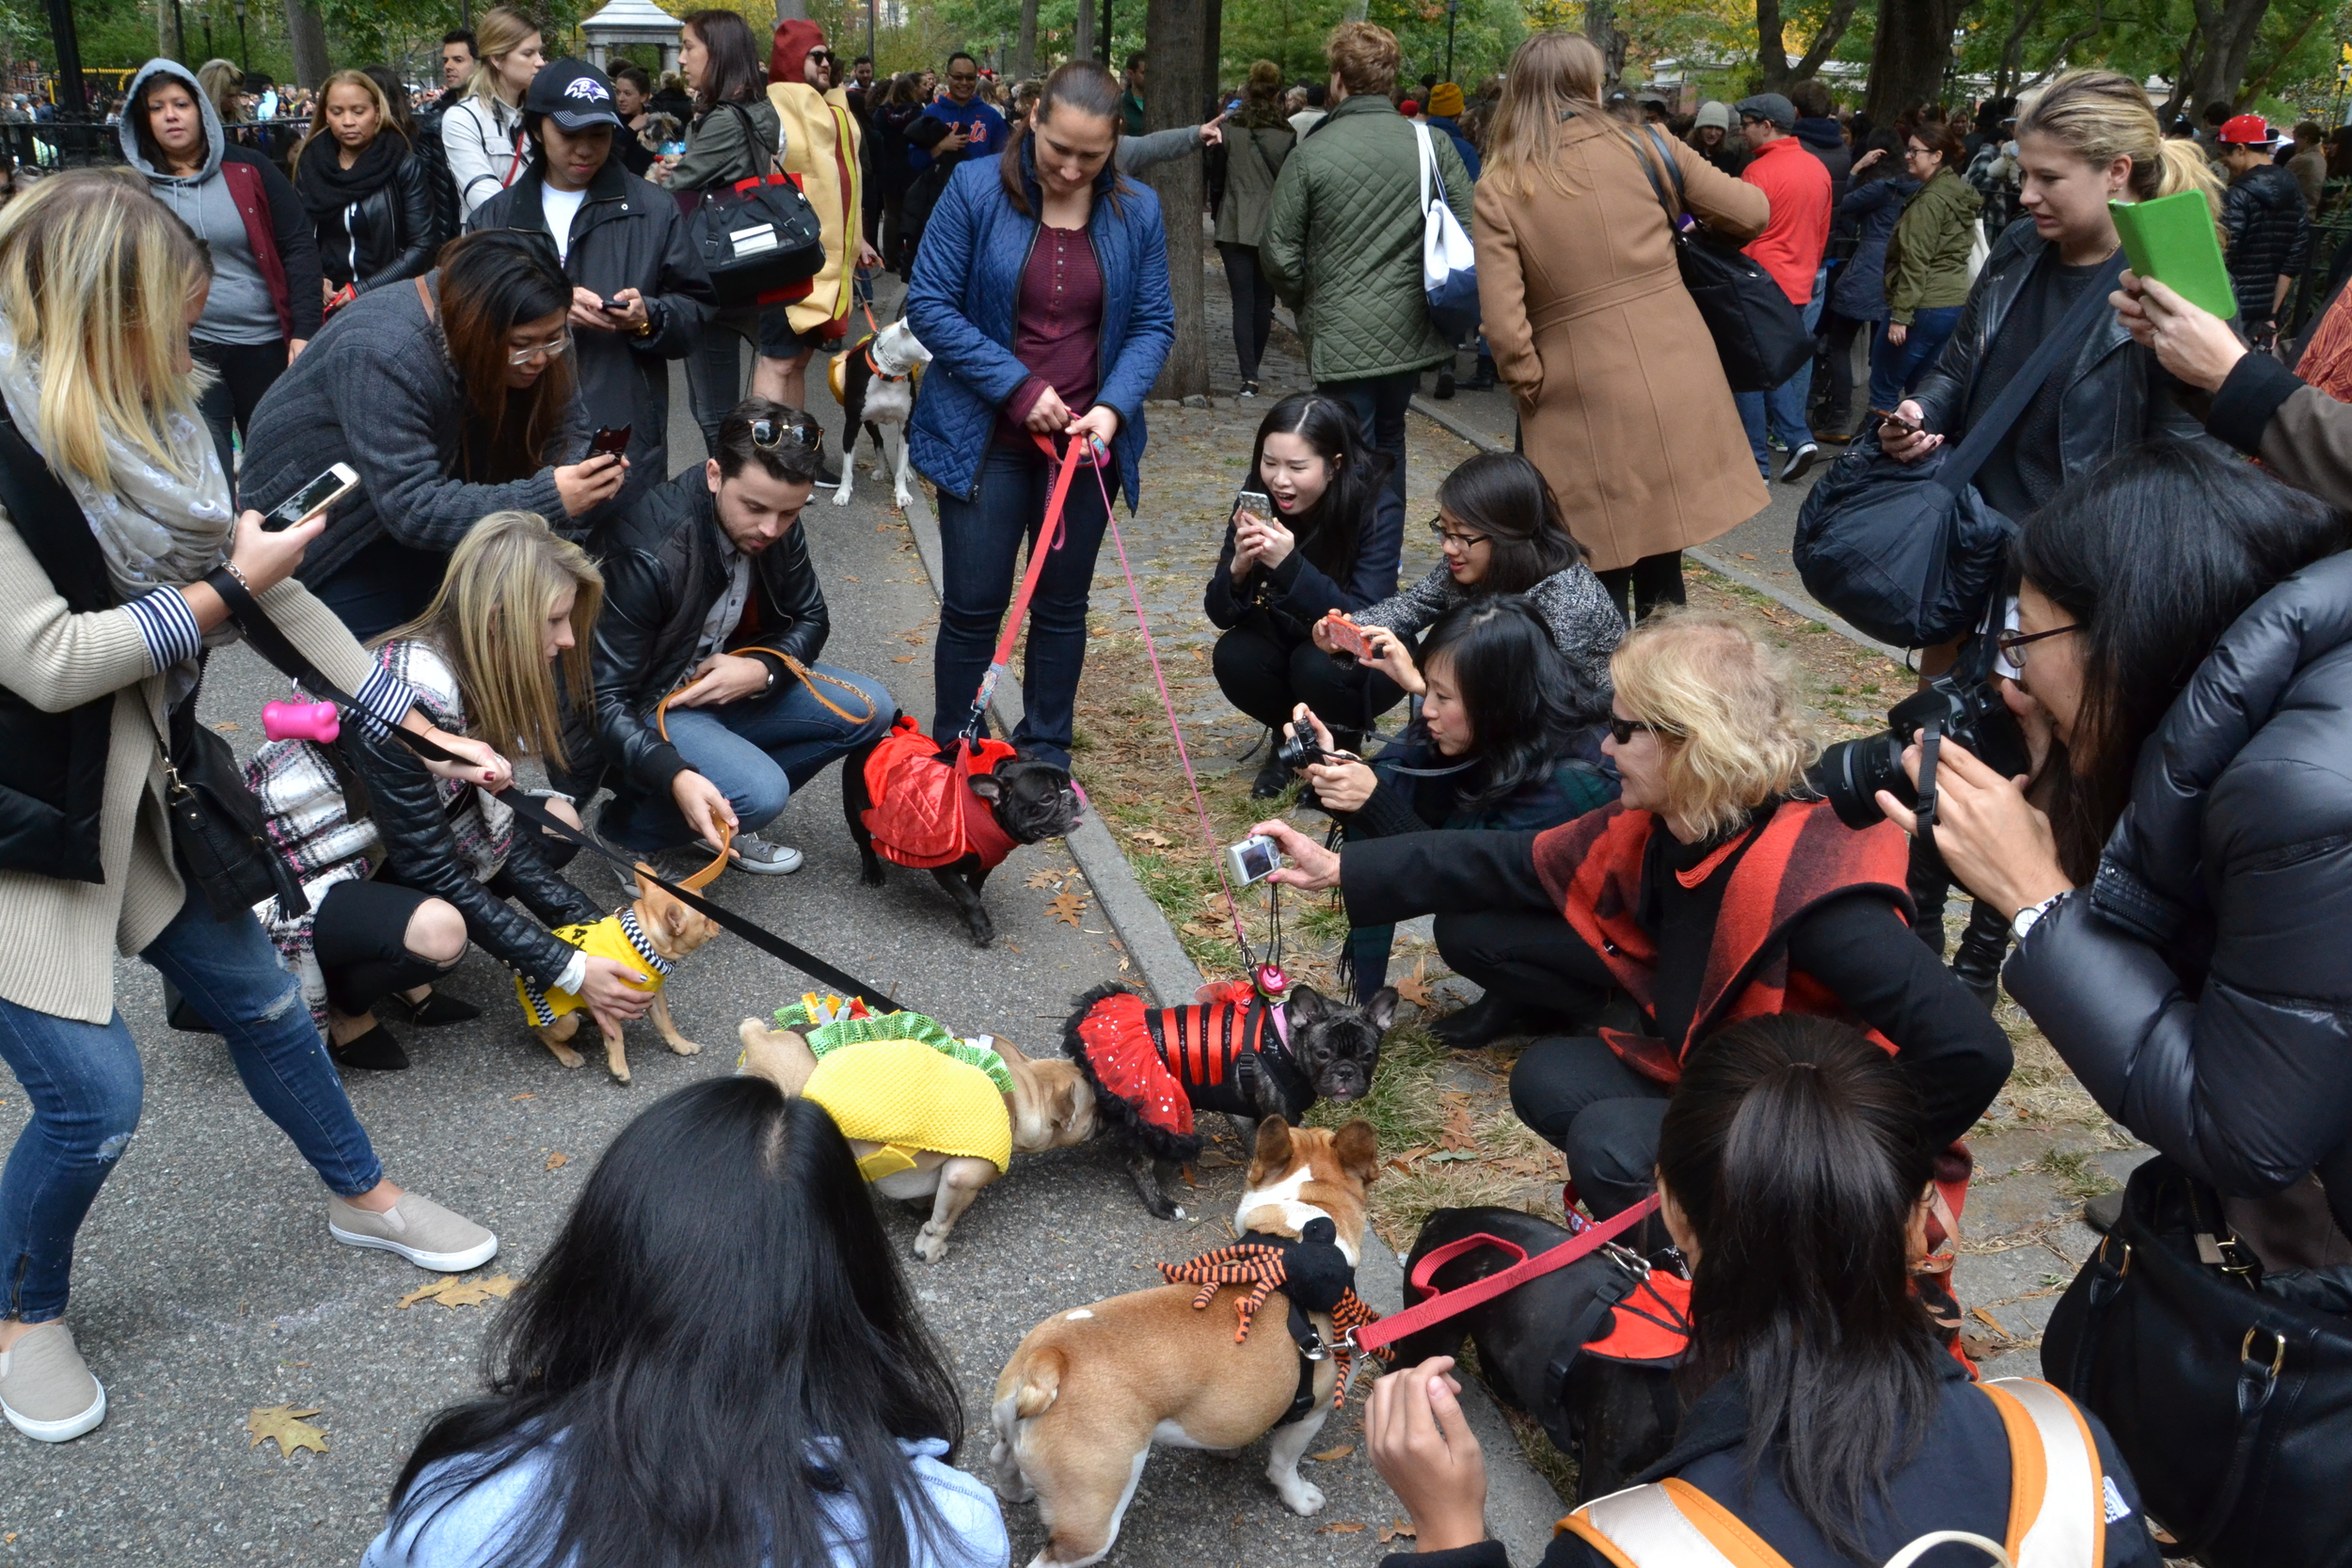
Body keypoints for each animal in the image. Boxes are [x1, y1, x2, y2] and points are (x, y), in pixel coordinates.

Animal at [519, 869, 720, 1081]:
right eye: (706, 920)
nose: (717, 922)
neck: (641, 942)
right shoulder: (608, 1002)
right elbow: (616, 1038)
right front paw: (619, 1068)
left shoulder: (654, 997)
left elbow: (665, 1023)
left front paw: (681, 1045)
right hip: (565, 1022)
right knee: (542, 1033)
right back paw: (567, 1055)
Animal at [734, 1020, 1101, 1259]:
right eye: (1096, 1108)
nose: (1105, 1114)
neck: (1018, 1097)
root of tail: (759, 1041)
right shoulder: (962, 1181)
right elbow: (943, 1221)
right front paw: (930, 1248)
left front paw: (919, 1203)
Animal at [988, 1123, 1374, 1560]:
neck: (1297, 1229)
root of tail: (1050, 1358)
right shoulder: (1310, 1413)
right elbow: (1284, 1463)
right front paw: (1298, 1497)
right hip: (1093, 1517)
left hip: (1013, 1431)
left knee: (1000, 1456)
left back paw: (1016, 1490)